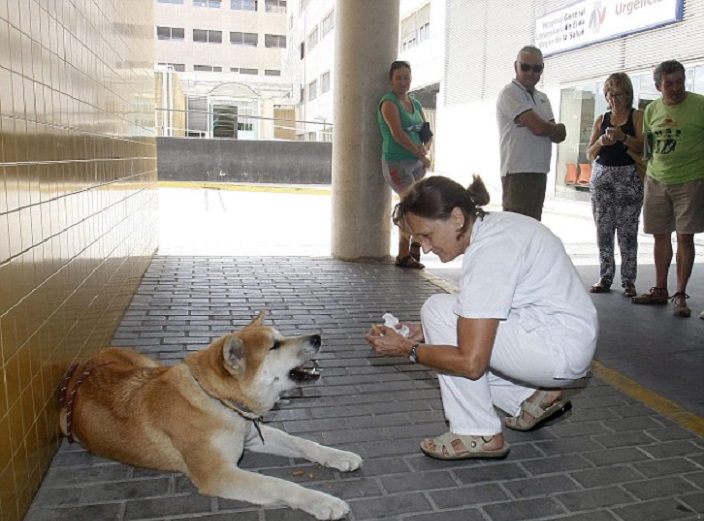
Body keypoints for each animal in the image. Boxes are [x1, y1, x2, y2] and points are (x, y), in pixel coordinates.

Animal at [59, 310, 364, 516]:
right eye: (275, 346)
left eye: (281, 337)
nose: (317, 337)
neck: (217, 400)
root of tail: (83, 367)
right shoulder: (219, 474)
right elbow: (280, 485)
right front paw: (322, 501)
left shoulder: (252, 435)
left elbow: (303, 443)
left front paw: (339, 456)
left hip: (150, 365)